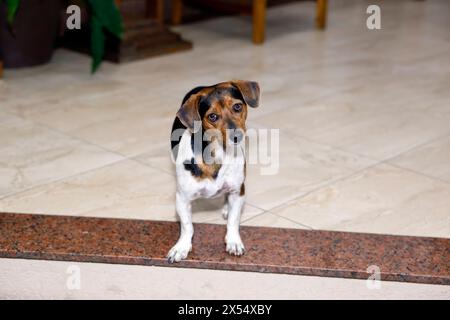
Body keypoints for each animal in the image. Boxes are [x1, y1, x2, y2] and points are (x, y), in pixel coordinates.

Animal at [168, 80, 260, 262]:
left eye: (237, 107)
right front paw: (182, 247)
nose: (237, 136)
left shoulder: (238, 191)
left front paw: (233, 241)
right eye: (212, 116)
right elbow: (187, 226)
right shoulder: (182, 199)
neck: (218, 154)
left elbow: (233, 221)